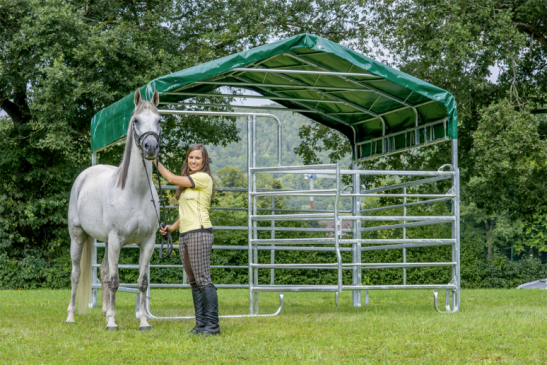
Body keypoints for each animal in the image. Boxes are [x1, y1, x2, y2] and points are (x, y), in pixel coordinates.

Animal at [65, 89, 162, 330]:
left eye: (159, 120)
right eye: (136, 120)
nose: (151, 147)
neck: (135, 192)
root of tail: (85, 175)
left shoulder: (148, 242)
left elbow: (142, 283)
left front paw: (143, 322)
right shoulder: (117, 239)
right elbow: (116, 281)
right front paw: (111, 323)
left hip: (107, 242)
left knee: (103, 271)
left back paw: (105, 310)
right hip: (78, 236)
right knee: (76, 274)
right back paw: (71, 316)